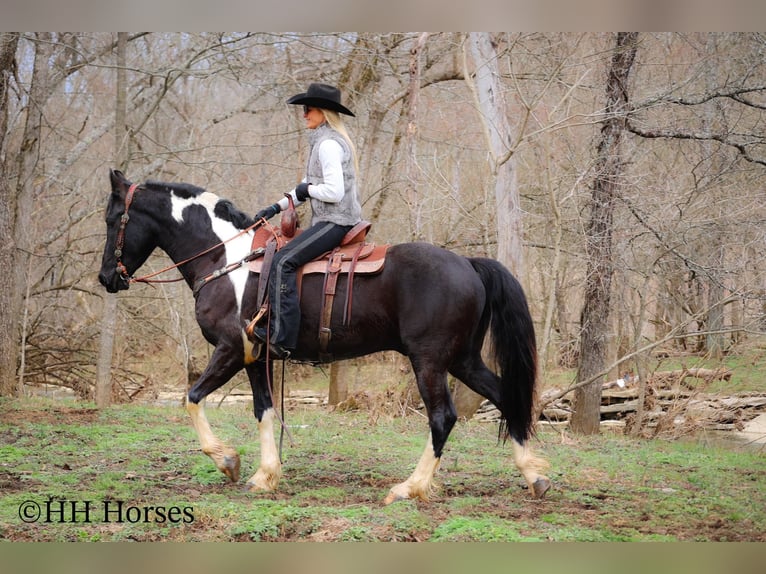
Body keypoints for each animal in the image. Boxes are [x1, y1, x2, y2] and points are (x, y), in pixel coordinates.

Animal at [99, 170, 552, 504]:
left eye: (111, 219)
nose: (106, 278)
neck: (225, 259)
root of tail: (468, 263)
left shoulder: (229, 350)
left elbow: (191, 398)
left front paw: (226, 460)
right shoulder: (254, 358)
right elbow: (263, 411)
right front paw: (266, 475)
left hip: (430, 362)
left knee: (443, 417)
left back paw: (410, 488)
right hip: (463, 359)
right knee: (506, 395)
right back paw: (533, 475)